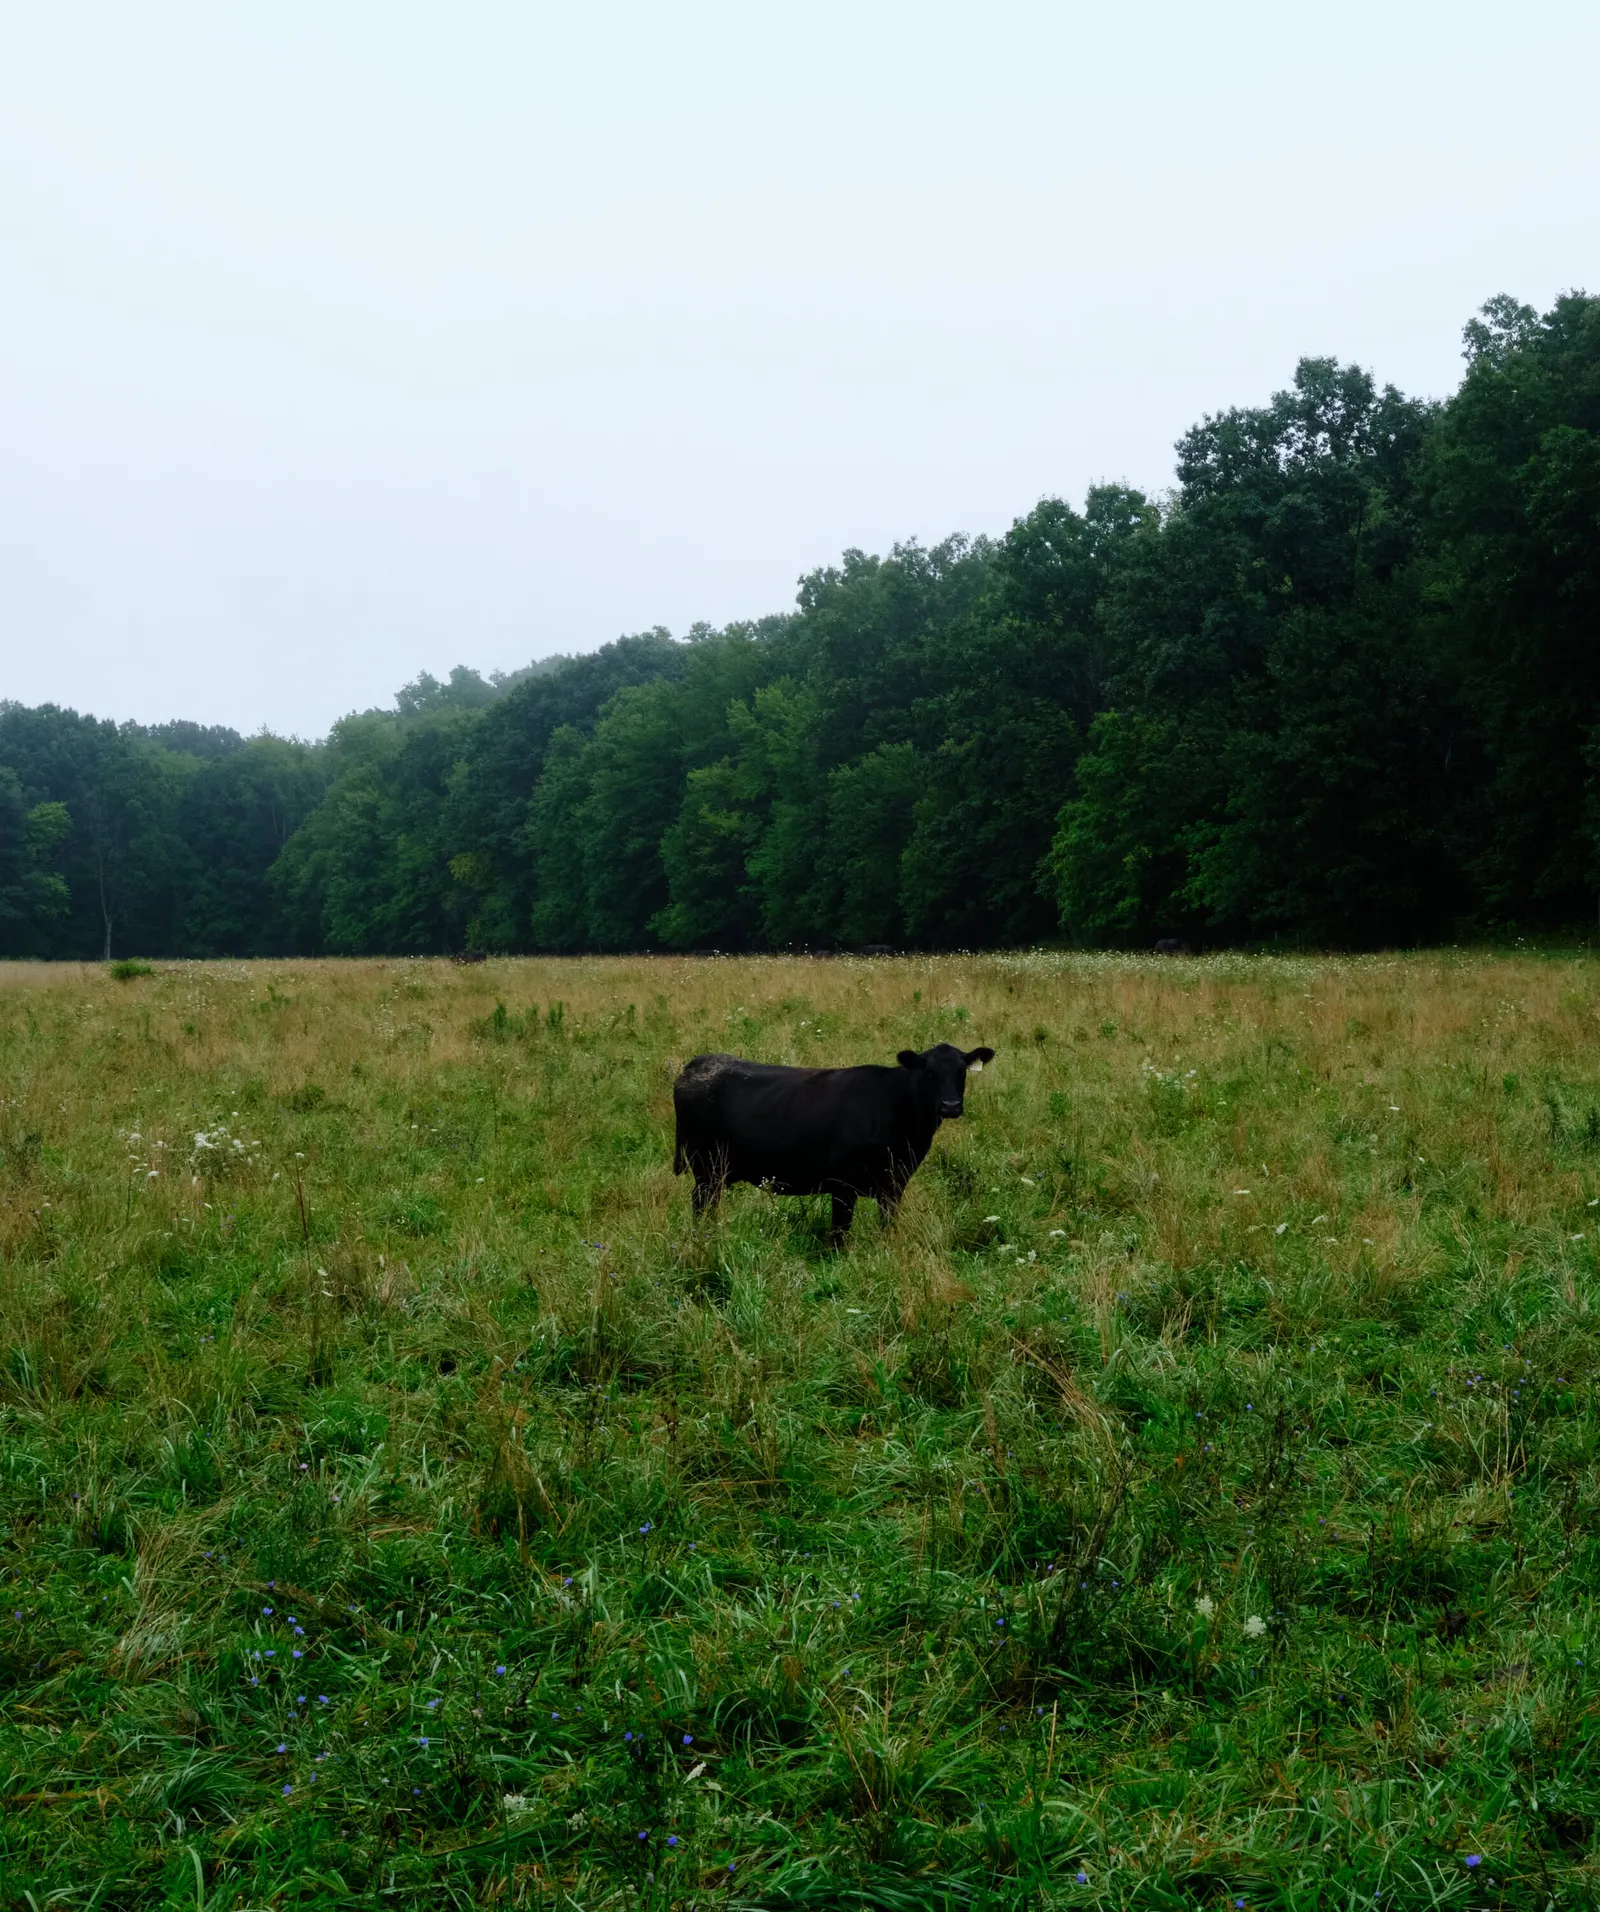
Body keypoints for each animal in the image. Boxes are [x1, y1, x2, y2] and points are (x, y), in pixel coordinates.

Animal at [672, 1042, 995, 1246]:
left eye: (961, 1071)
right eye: (929, 1073)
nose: (950, 1106)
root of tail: (699, 1062)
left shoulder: (894, 1183)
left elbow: (886, 1223)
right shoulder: (843, 1184)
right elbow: (840, 1231)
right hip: (706, 1169)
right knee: (701, 1203)